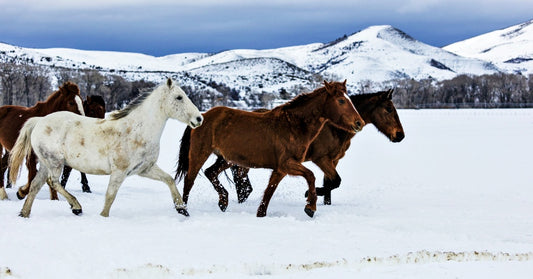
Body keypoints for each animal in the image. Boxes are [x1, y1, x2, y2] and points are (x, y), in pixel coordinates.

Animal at [8, 79, 204, 219]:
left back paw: (24, 213)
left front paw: (182, 209)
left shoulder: (144, 169)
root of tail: (39, 121)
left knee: (35, 185)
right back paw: (76, 207)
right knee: (53, 182)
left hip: (46, 163)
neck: (138, 130)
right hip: (55, 162)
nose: (199, 119)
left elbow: (169, 180)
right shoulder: (119, 171)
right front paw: (103, 217)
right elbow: (110, 196)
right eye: (179, 97)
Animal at [177, 80, 364, 218]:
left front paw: (261, 214)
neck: (293, 125)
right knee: (189, 181)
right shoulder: (287, 164)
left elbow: (269, 192)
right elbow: (310, 176)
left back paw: (223, 202)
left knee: (210, 172)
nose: (359, 123)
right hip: (199, 154)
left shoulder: (281, 169)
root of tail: (201, 117)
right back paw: (183, 210)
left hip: (226, 159)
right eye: (341, 100)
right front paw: (310, 207)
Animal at [227, 89, 406, 206]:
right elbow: (335, 181)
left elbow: (330, 183)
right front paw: (310, 194)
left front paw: (324, 202)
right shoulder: (321, 159)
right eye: (389, 109)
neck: (335, 127)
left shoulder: (333, 160)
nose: (400, 135)